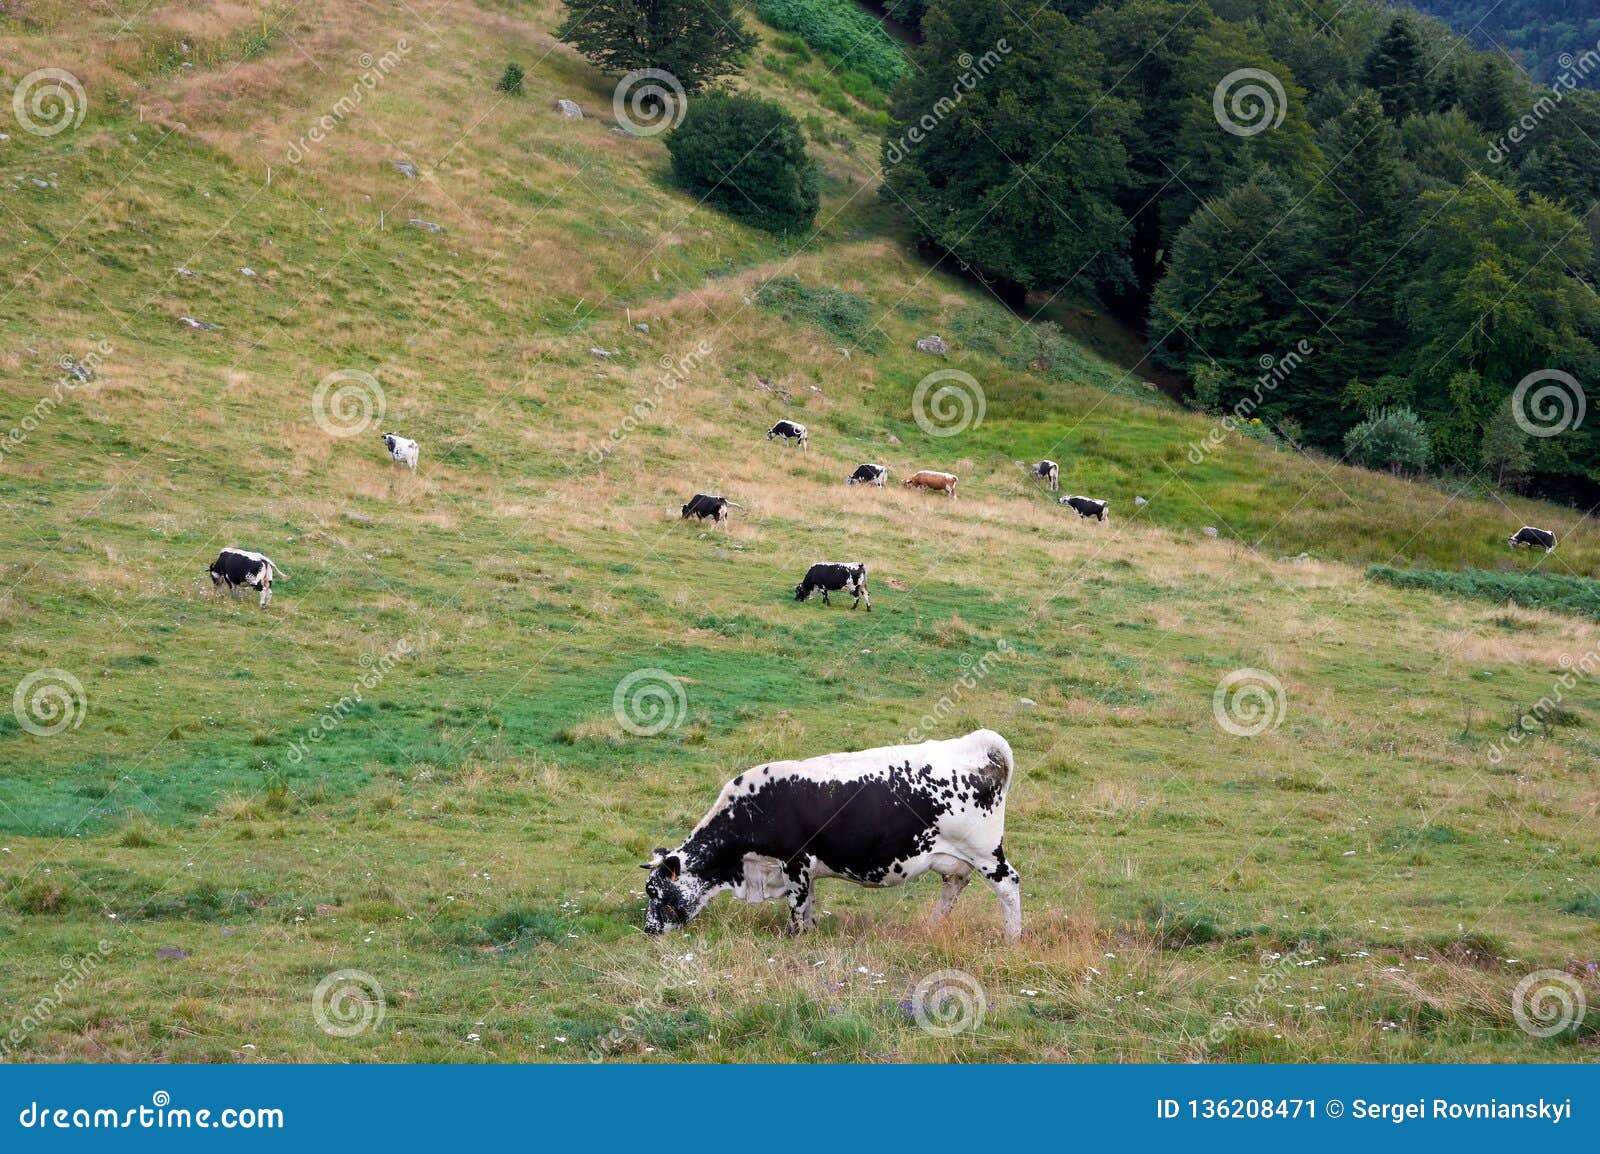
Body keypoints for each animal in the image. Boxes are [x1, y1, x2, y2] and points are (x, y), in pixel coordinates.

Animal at [643, 723, 1017, 941]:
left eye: (655, 892)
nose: (648, 929)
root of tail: (972, 744)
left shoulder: (793, 861)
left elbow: (796, 904)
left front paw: (793, 937)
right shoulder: (804, 867)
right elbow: (809, 901)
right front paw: (810, 933)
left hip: (985, 852)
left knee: (1008, 885)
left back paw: (1012, 936)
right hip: (955, 857)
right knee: (953, 885)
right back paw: (932, 925)